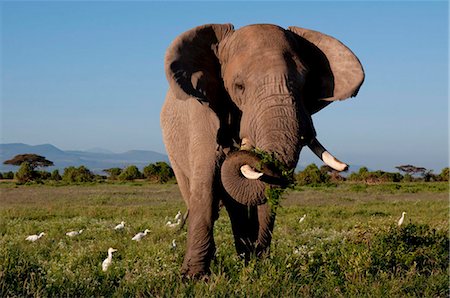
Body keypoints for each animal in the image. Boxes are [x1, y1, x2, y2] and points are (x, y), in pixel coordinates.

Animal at [160, 23, 364, 278]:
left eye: (305, 85)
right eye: (239, 87)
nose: (346, 168)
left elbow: (266, 193)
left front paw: (258, 269)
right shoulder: (202, 115)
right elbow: (206, 186)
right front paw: (195, 278)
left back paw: (244, 257)